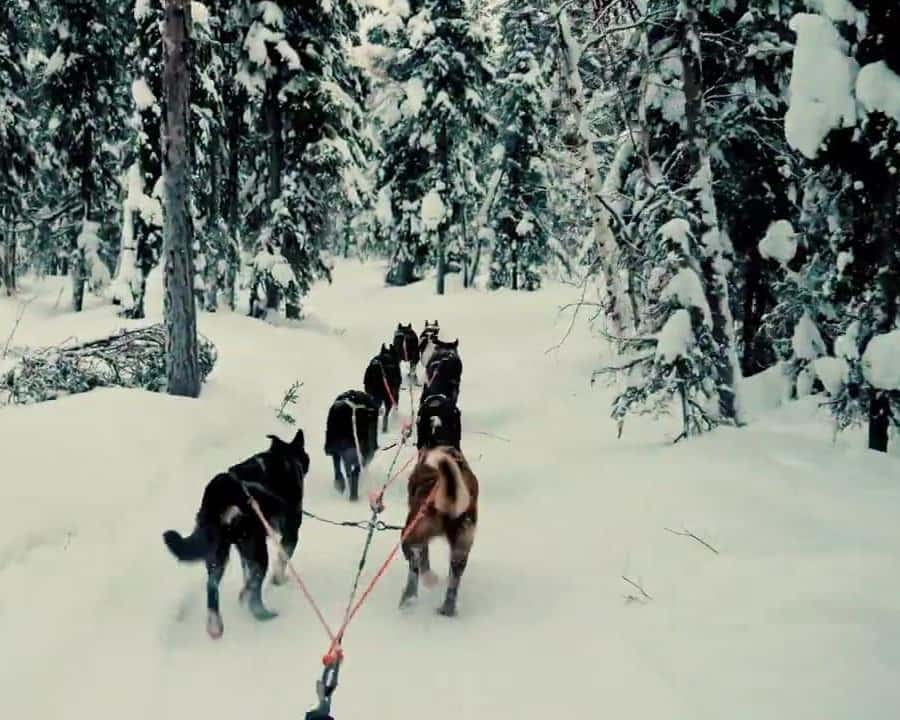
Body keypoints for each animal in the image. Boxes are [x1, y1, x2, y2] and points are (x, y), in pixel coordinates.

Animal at [162, 429, 310, 639]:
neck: (284, 458)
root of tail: (223, 494)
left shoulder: (243, 550)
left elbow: (246, 572)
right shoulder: (290, 533)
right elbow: (281, 561)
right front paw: (278, 580)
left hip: (219, 552)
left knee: (212, 587)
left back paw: (215, 626)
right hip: (256, 548)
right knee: (254, 586)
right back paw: (261, 611)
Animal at [399, 446, 478, 617]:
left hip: (411, 532)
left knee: (415, 561)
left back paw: (410, 595)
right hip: (462, 544)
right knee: (454, 578)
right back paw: (447, 608)